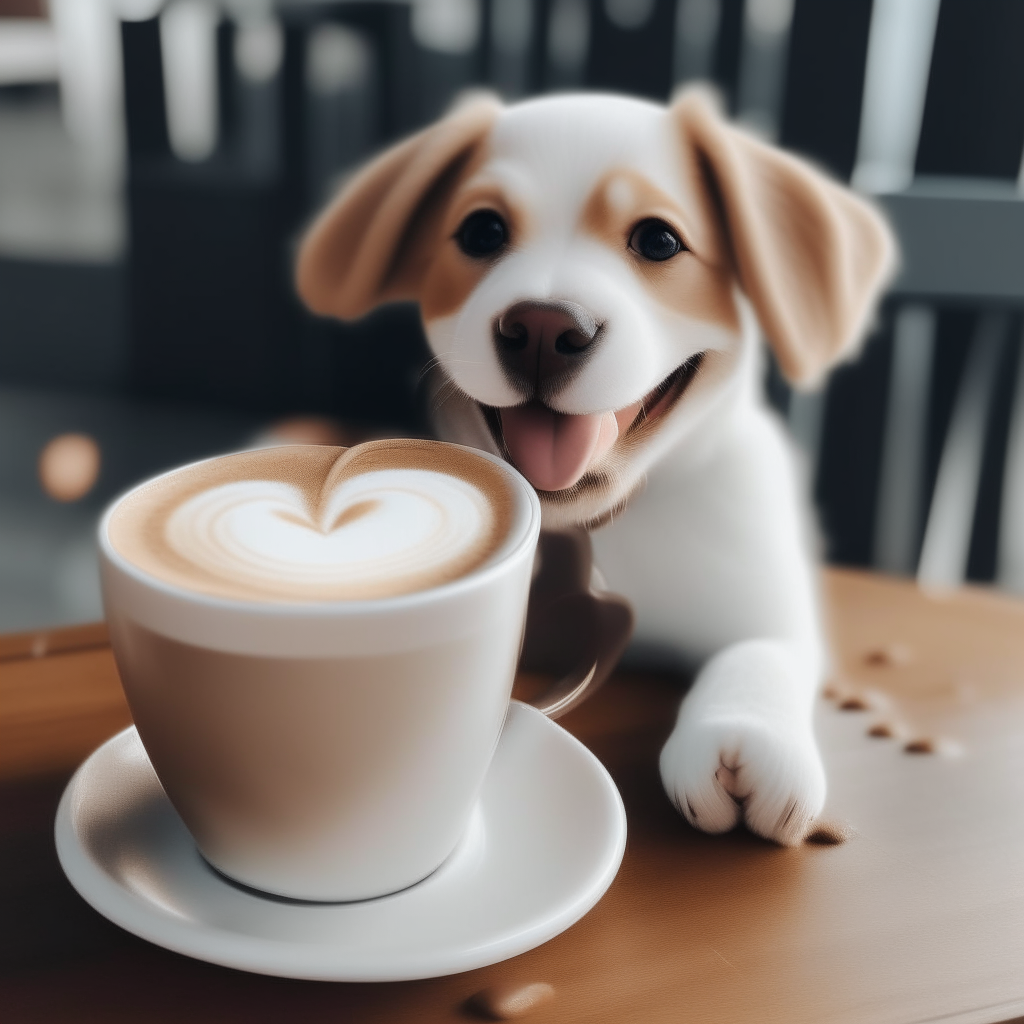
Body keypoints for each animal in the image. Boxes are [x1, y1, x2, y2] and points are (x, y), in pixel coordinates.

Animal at [296, 92, 897, 847]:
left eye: (659, 241)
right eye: (482, 231)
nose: (542, 330)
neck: (583, 524)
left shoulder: (765, 600)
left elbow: (761, 652)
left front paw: (747, 731)